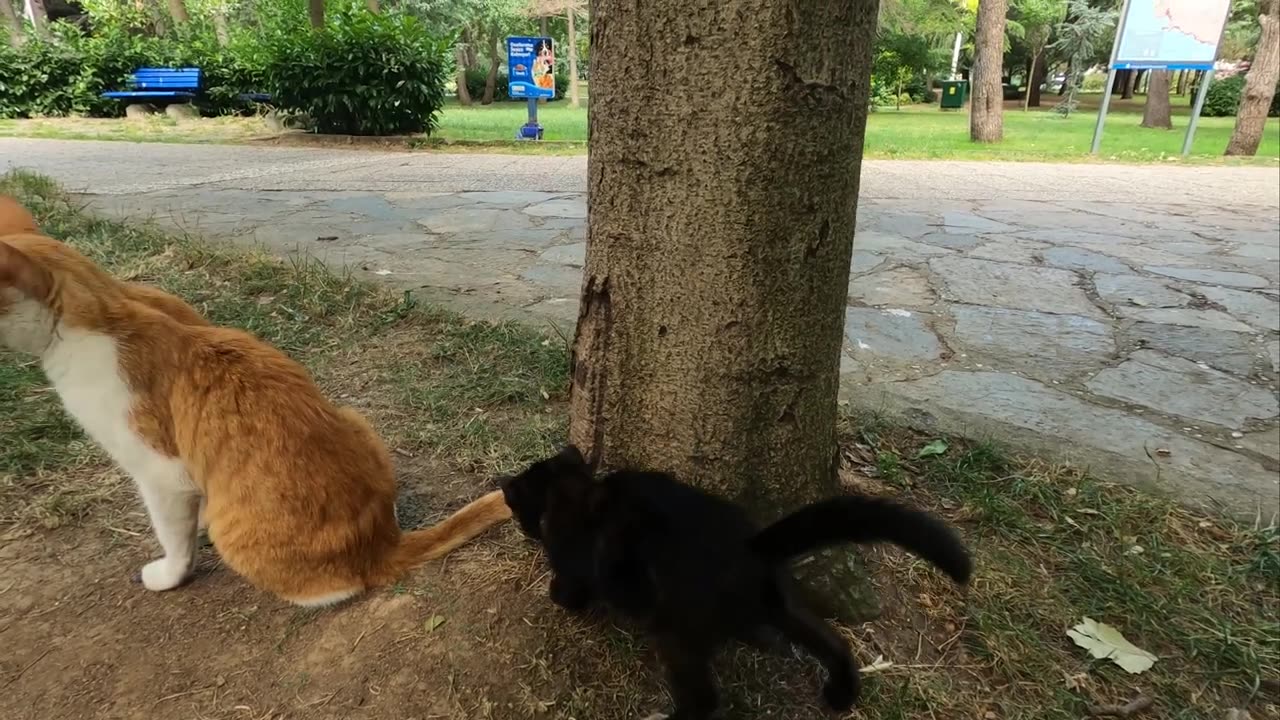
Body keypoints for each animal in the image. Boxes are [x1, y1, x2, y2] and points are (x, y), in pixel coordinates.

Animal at [1, 226, 509, 602]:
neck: (108, 303)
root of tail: (383, 541)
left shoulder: (161, 473)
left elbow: (173, 537)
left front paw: (169, 573)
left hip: (240, 533)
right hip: (354, 417)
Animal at [499, 443, 967, 717]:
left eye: (521, 514)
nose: (525, 528)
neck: (569, 487)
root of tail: (752, 548)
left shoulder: (573, 560)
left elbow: (569, 584)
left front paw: (558, 596)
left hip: (677, 633)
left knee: (705, 701)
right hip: (783, 605)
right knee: (831, 641)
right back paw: (840, 694)